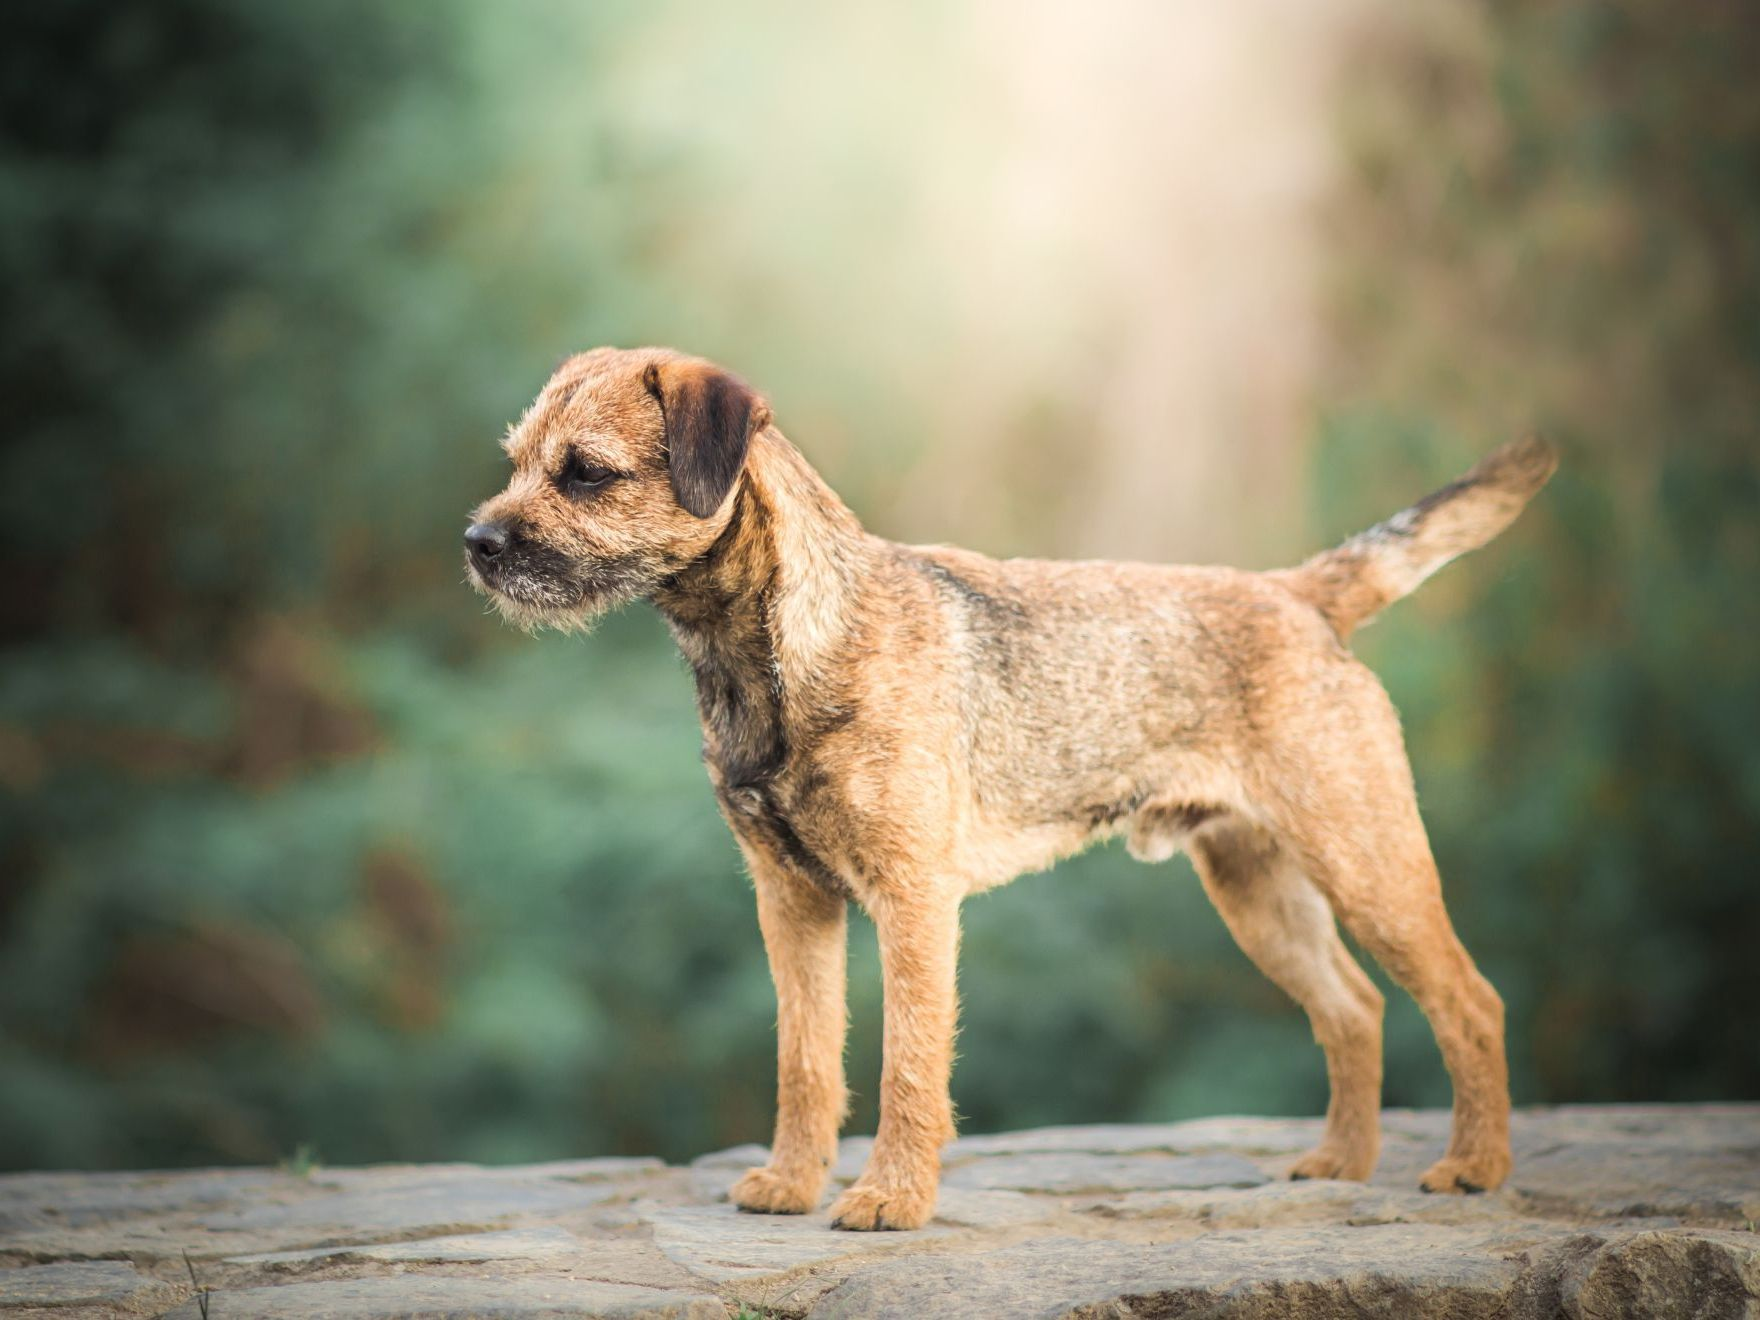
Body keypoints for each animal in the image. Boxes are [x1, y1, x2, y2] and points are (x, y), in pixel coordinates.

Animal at [468, 348, 1555, 1232]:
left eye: (586, 472)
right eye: (516, 458)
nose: (476, 542)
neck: (779, 646)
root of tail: (1297, 593)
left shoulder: (912, 899)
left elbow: (906, 1063)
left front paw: (890, 1200)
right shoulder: (791, 901)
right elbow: (805, 1058)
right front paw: (791, 1182)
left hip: (1366, 859)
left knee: (1469, 1000)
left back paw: (1473, 1166)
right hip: (1257, 891)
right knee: (1352, 1007)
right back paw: (1340, 1163)